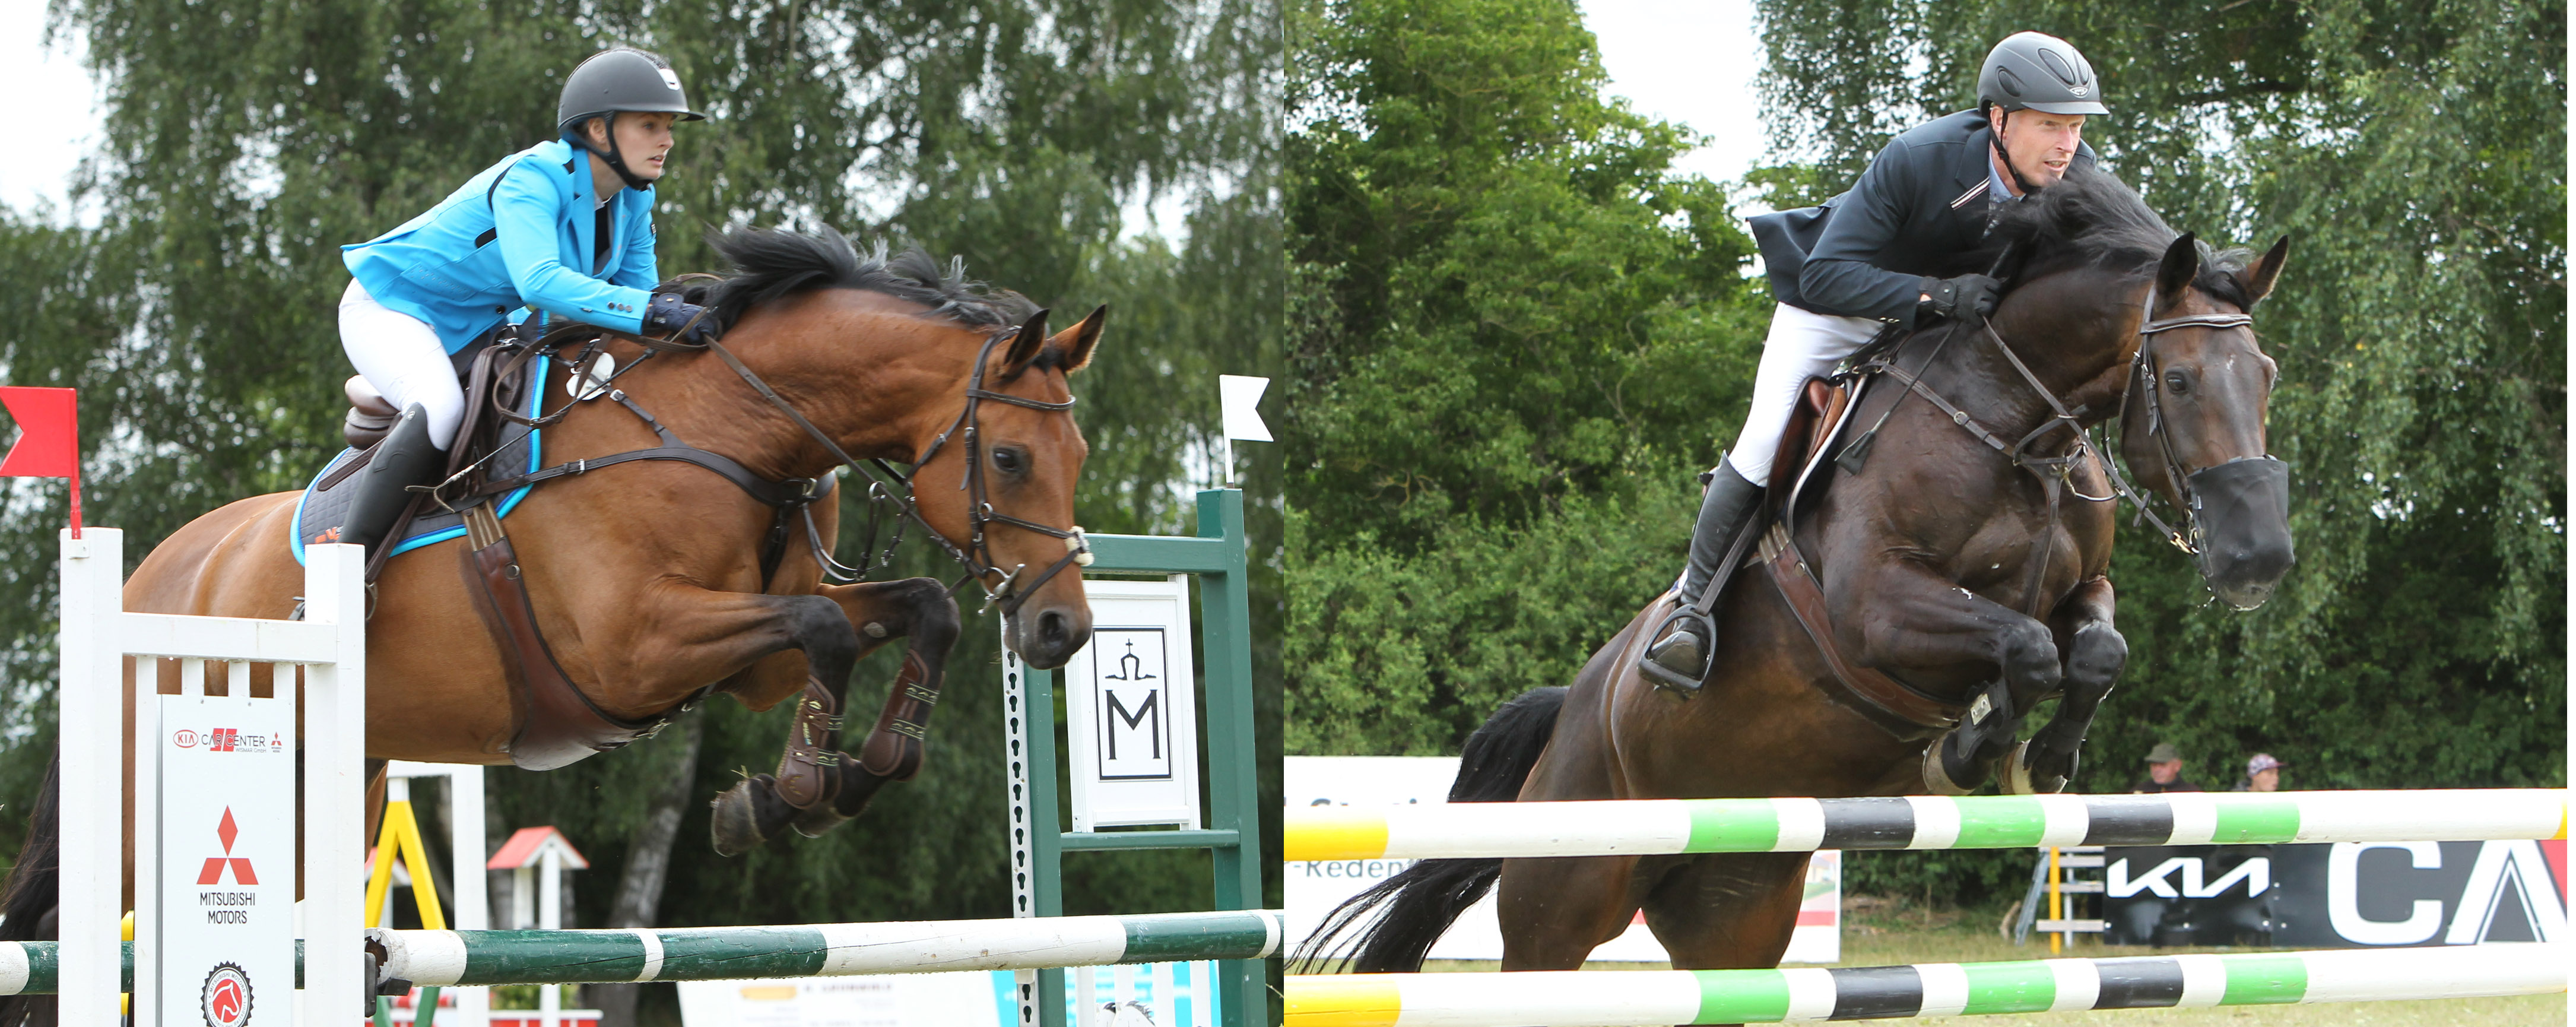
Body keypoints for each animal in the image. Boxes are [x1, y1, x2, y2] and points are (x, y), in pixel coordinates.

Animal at [0, 233, 1097, 972]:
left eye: (1078, 456)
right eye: (1009, 457)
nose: (1062, 629)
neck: (734, 428)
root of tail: (147, 574)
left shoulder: (753, 664)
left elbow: (918, 609)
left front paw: (859, 771)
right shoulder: (633, 648)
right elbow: (829, 626)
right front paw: (786, 795)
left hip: (335, 779)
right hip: (147, 792)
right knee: (55, 932)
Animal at [1308, 171, 2298, 988]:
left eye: (2268, 374)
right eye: (2178, 379)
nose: (2258, 559)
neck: (2015, 426)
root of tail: (1574, 706)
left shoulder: (2079, 588)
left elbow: (2093, 653)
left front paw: (2041, 759)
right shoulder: (1876, 610)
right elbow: (2023, 648)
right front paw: (1974, 746)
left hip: (1735, 911)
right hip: (1566, 893)